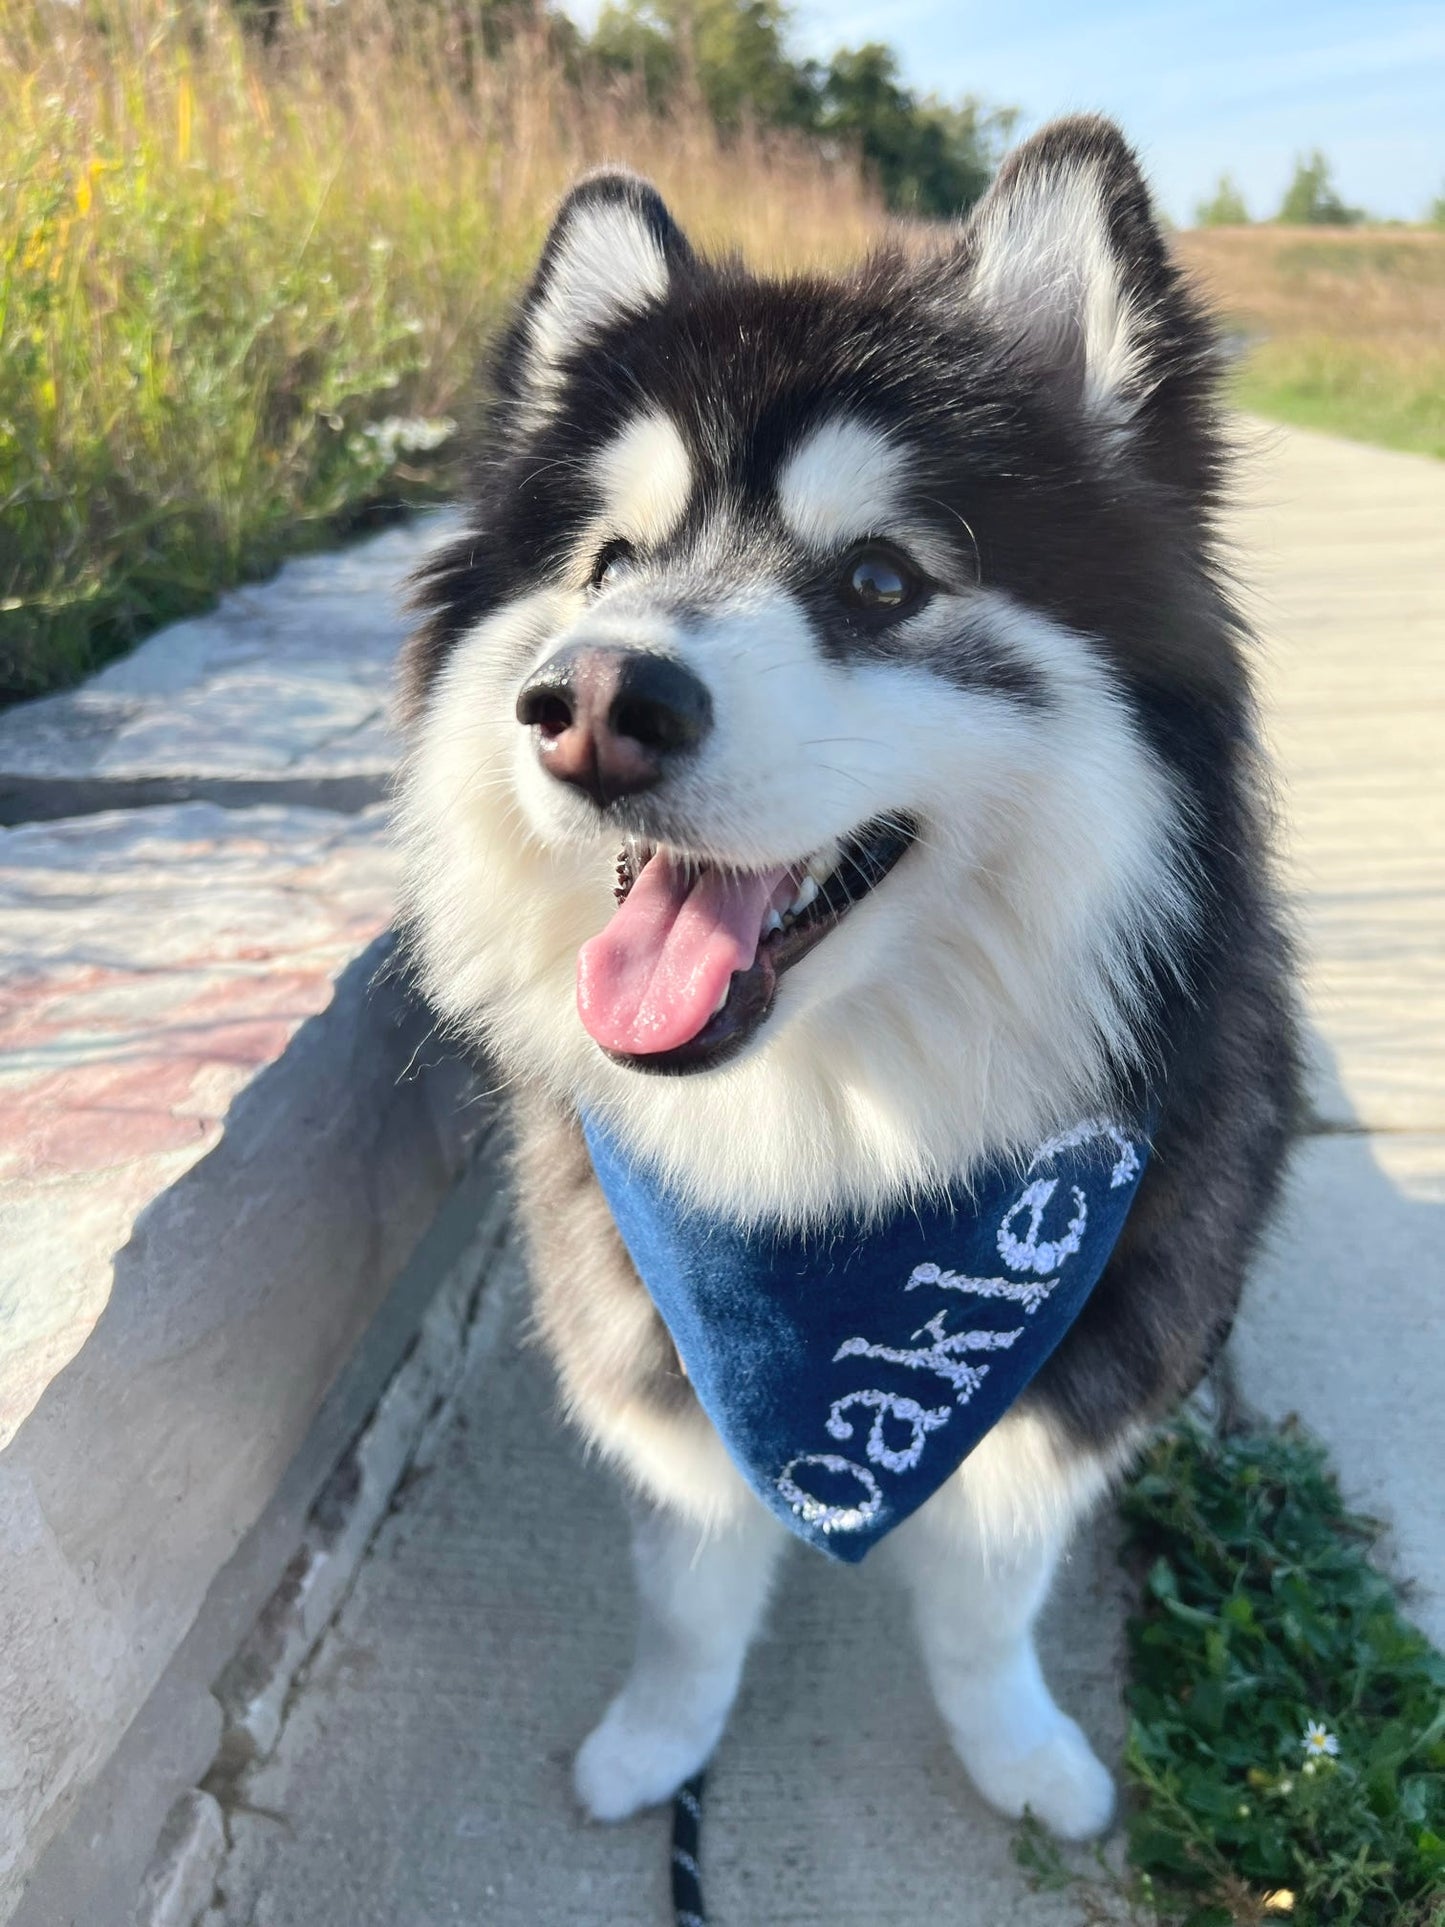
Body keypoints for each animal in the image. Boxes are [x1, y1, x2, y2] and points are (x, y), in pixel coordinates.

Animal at [396, 116, 1302, 1834]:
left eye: (882, 581)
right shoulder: (661, 1368)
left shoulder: (1072, 1384)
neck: (830, 1138)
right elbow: (691, 1595)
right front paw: (660, 1740)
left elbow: (986, 1605)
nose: (590, 702)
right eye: (607, 562)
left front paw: (1020, 1754)